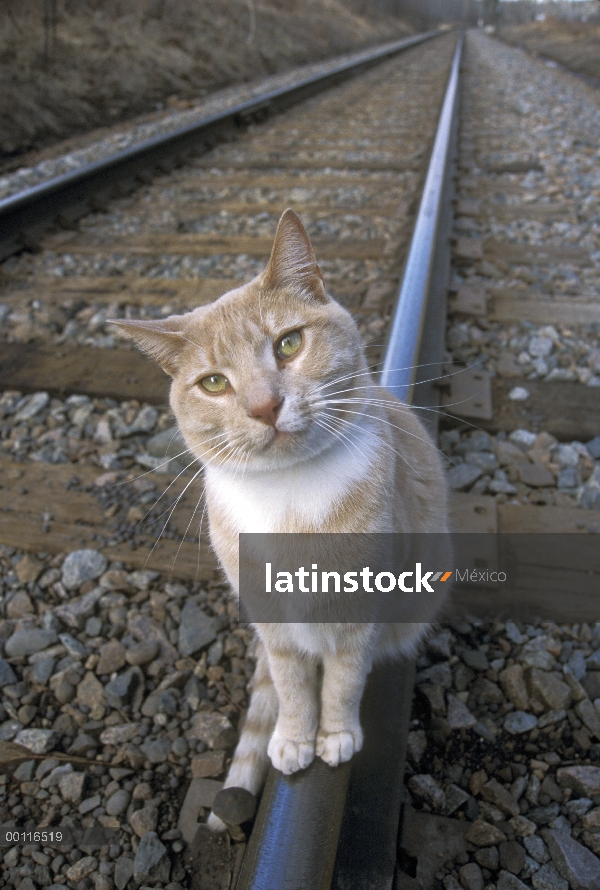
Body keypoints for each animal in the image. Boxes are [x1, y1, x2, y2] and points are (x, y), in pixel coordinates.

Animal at [113, 210, 450, 832]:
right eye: (214, 383)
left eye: (289, 344)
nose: (265, 407)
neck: (289, 497)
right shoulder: (272, 621)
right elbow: (293, 686)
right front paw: (294, 737)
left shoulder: (358, 614)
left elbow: (343, 679)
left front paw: (334, 734)